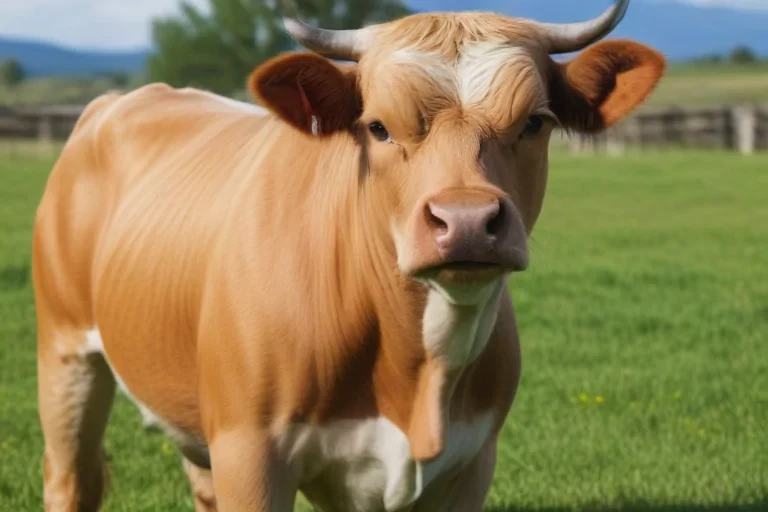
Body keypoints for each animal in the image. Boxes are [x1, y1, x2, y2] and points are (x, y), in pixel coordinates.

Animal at [32, 0, 665, 510]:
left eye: (535, 122)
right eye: (378, 127)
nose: (465, 221)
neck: (417, 372)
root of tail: (121, 102)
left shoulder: (470, 463)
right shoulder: (250, 453)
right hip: (65, 354)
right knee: (71, 480)